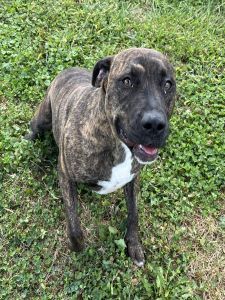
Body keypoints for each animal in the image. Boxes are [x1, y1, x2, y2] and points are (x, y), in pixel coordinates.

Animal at [25, 48, 176, 266]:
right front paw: (77, 247)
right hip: (43, 118)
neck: (117, 144)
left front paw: (134, 245)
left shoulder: (133, 179)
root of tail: (68, 70)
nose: (155, 124)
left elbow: (134, 214)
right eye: (127, 81)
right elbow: (74, 225)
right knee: (34, 128)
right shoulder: (65, 173)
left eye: (167, 84)